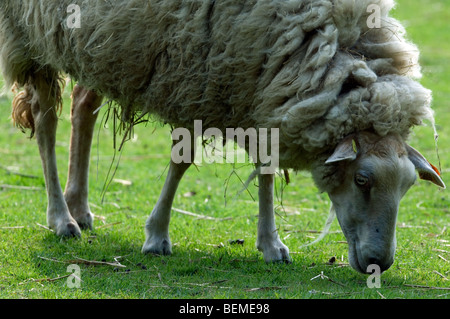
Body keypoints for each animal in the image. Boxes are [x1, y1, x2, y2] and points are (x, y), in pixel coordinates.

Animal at [0, 0, 442, 276]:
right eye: (362, 180)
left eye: (407, 186)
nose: (379, 264)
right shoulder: (196, 75)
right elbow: (182, 161)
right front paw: (157, 235)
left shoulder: (260, 90)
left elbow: (266, 168)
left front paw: (271, 244)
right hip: (30, 34)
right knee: (45, 120)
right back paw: (62, 218)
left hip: (95, 46)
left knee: (83, 107)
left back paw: (80, 206)